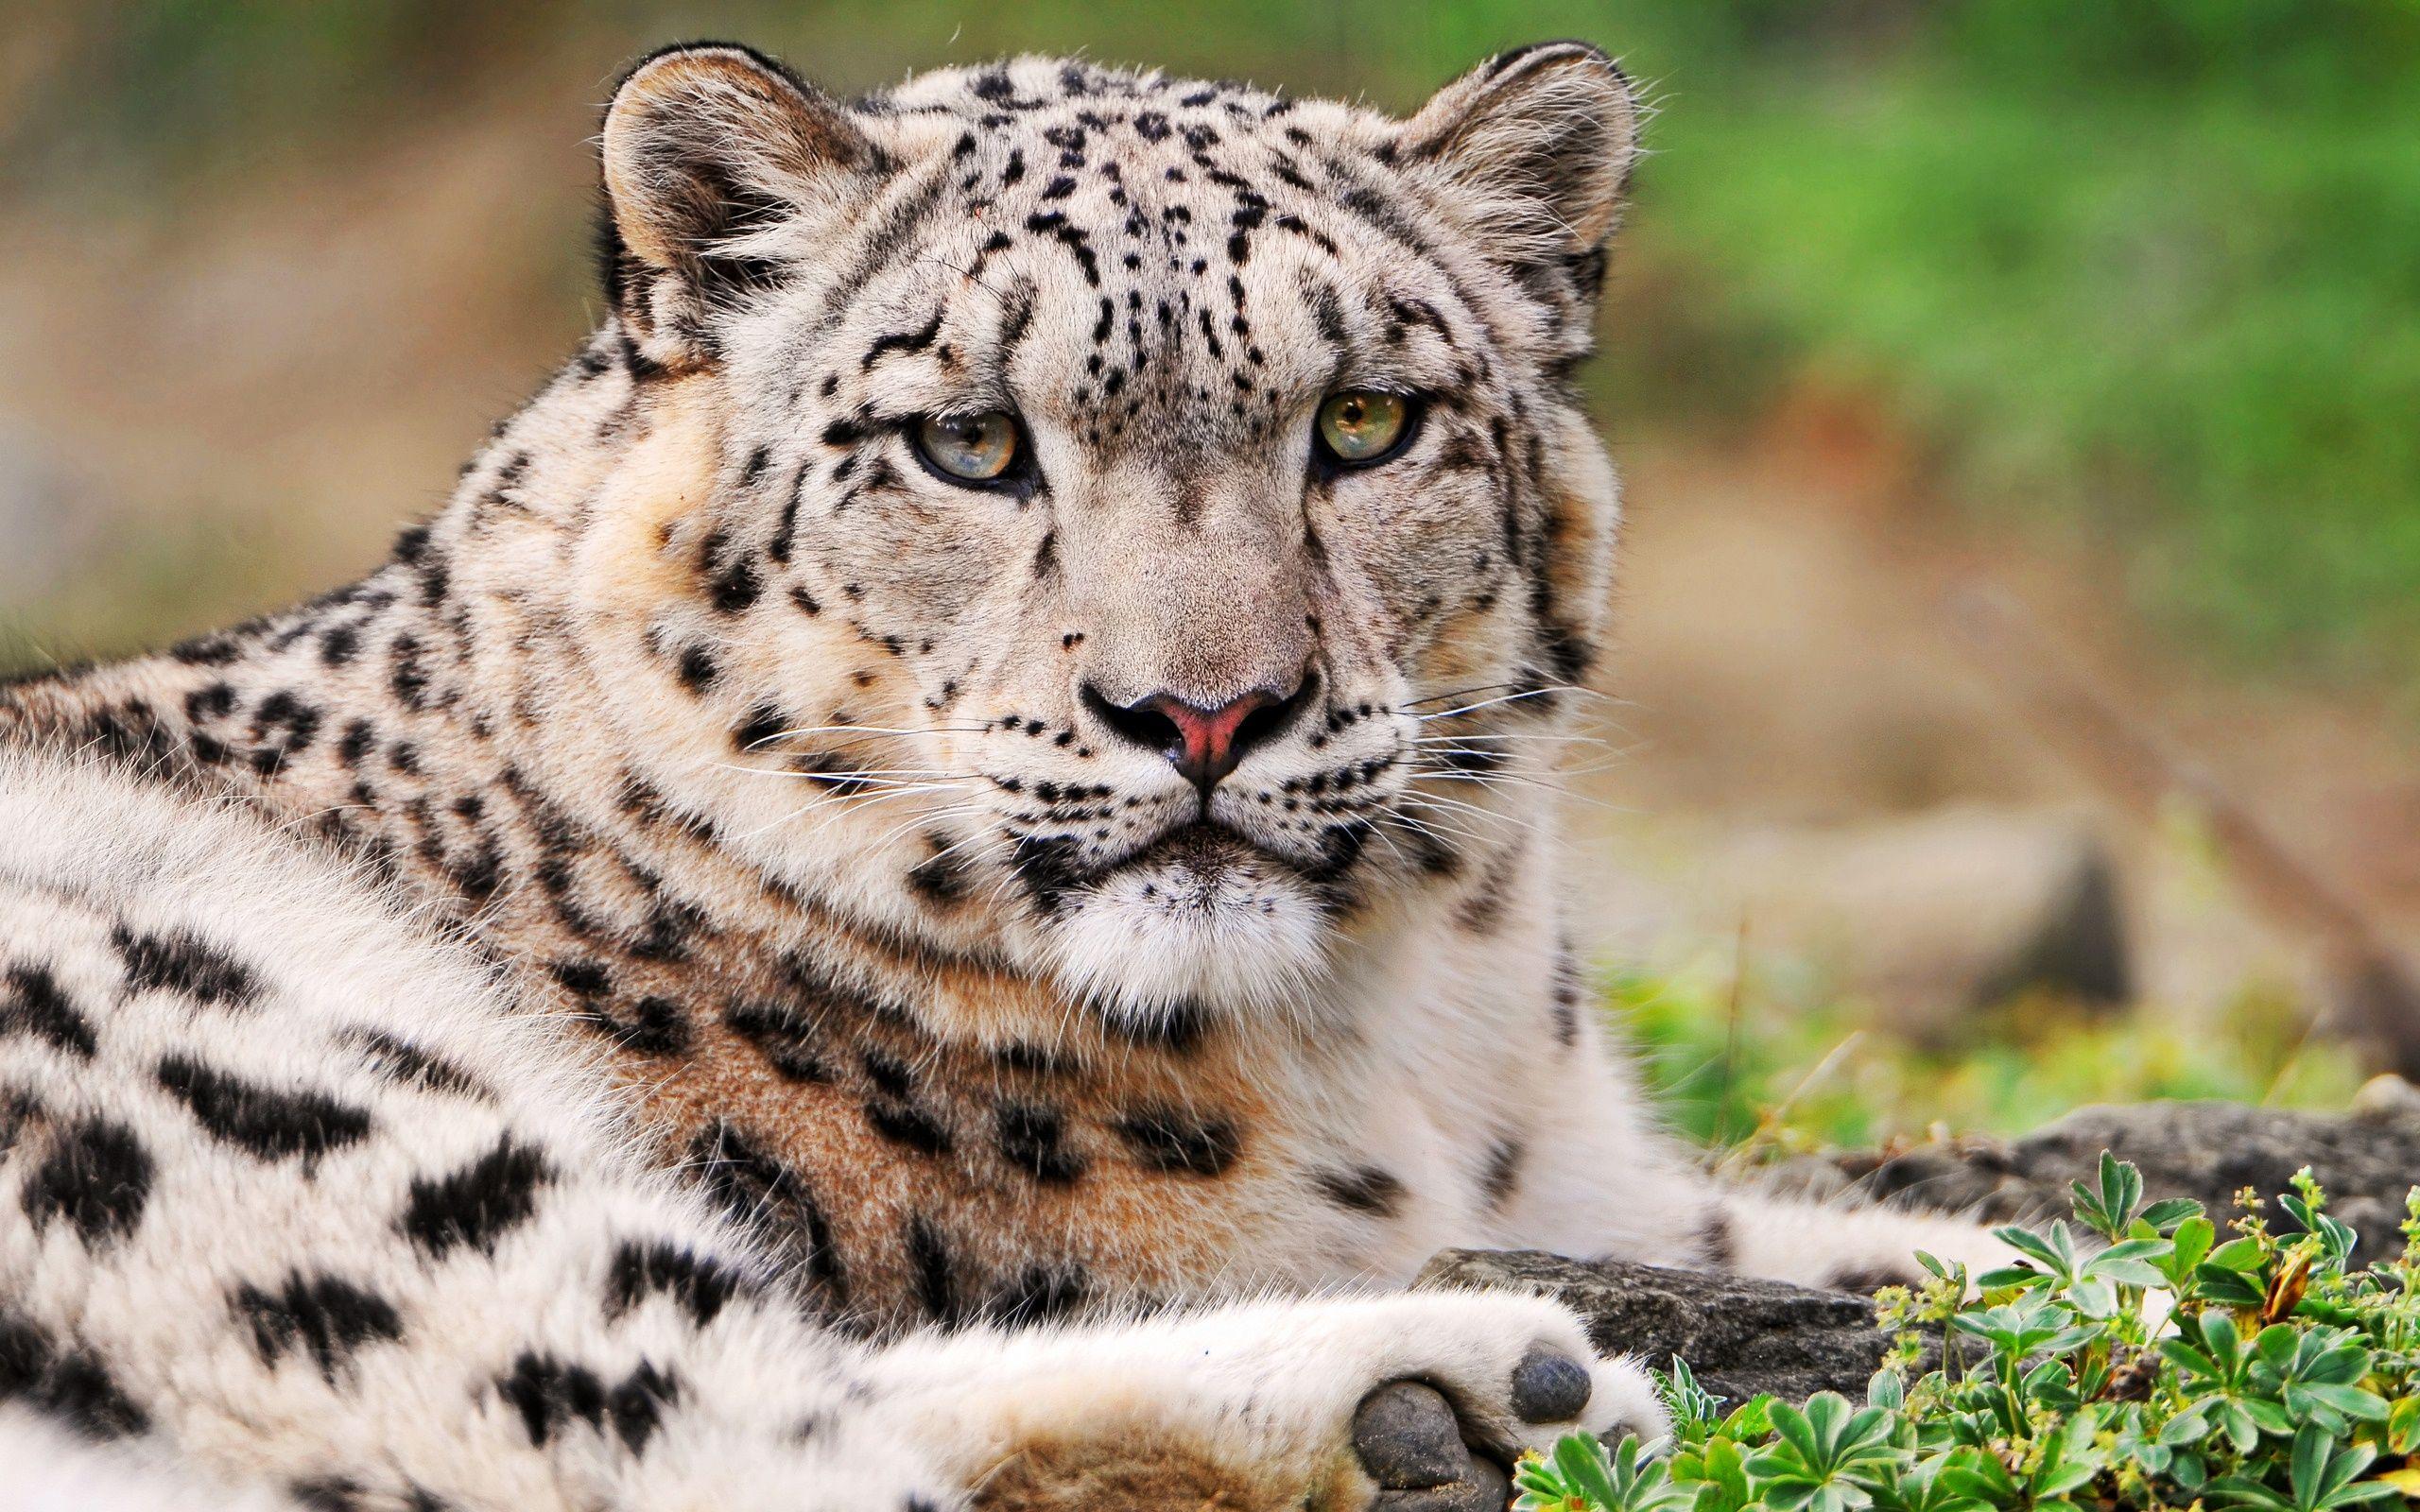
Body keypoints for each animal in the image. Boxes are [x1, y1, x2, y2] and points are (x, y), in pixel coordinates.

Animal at [0, 40, 2016, 1511]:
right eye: (968, 442)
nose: (1204, 713)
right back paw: (1467, 1392)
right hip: (306, 1129)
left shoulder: (1605, 1180)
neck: (1418, 1050)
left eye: (1368, 422)